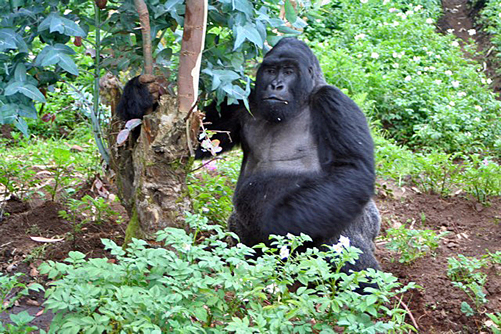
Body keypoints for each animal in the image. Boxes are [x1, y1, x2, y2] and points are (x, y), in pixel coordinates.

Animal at [117, 37, 380, 276]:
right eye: (271, 71)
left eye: (288, 71)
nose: (275, 85)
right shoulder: (240, 99)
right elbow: (198, 139)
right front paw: (139, 96)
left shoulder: (334, 102)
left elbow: (351, 169)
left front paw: (280, 223)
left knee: (341, 236)